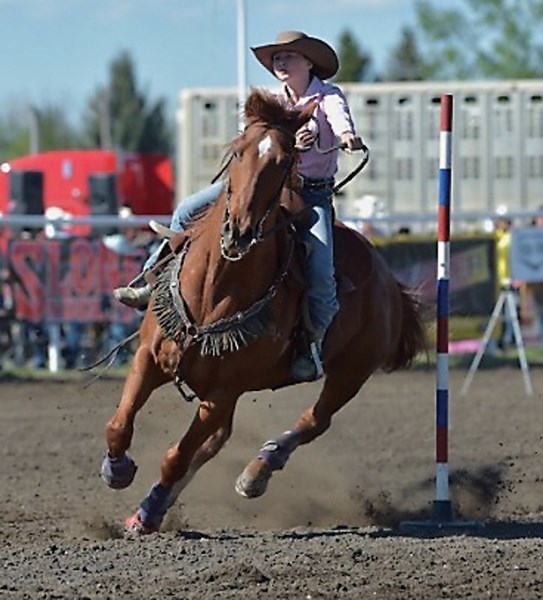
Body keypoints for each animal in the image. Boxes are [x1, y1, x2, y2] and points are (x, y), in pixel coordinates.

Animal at [101, 89, 424, 536]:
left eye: (285, 161)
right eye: (238, 151)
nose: (239, 230)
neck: (213, 289)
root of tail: (390, 281)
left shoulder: (223, 391)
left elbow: (176, 456)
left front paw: (146, 508)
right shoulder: (150, 357)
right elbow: (119, 424)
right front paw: (117, 471)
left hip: (352, 371)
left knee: (314, 420)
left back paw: (257, 472)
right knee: (217, 442)